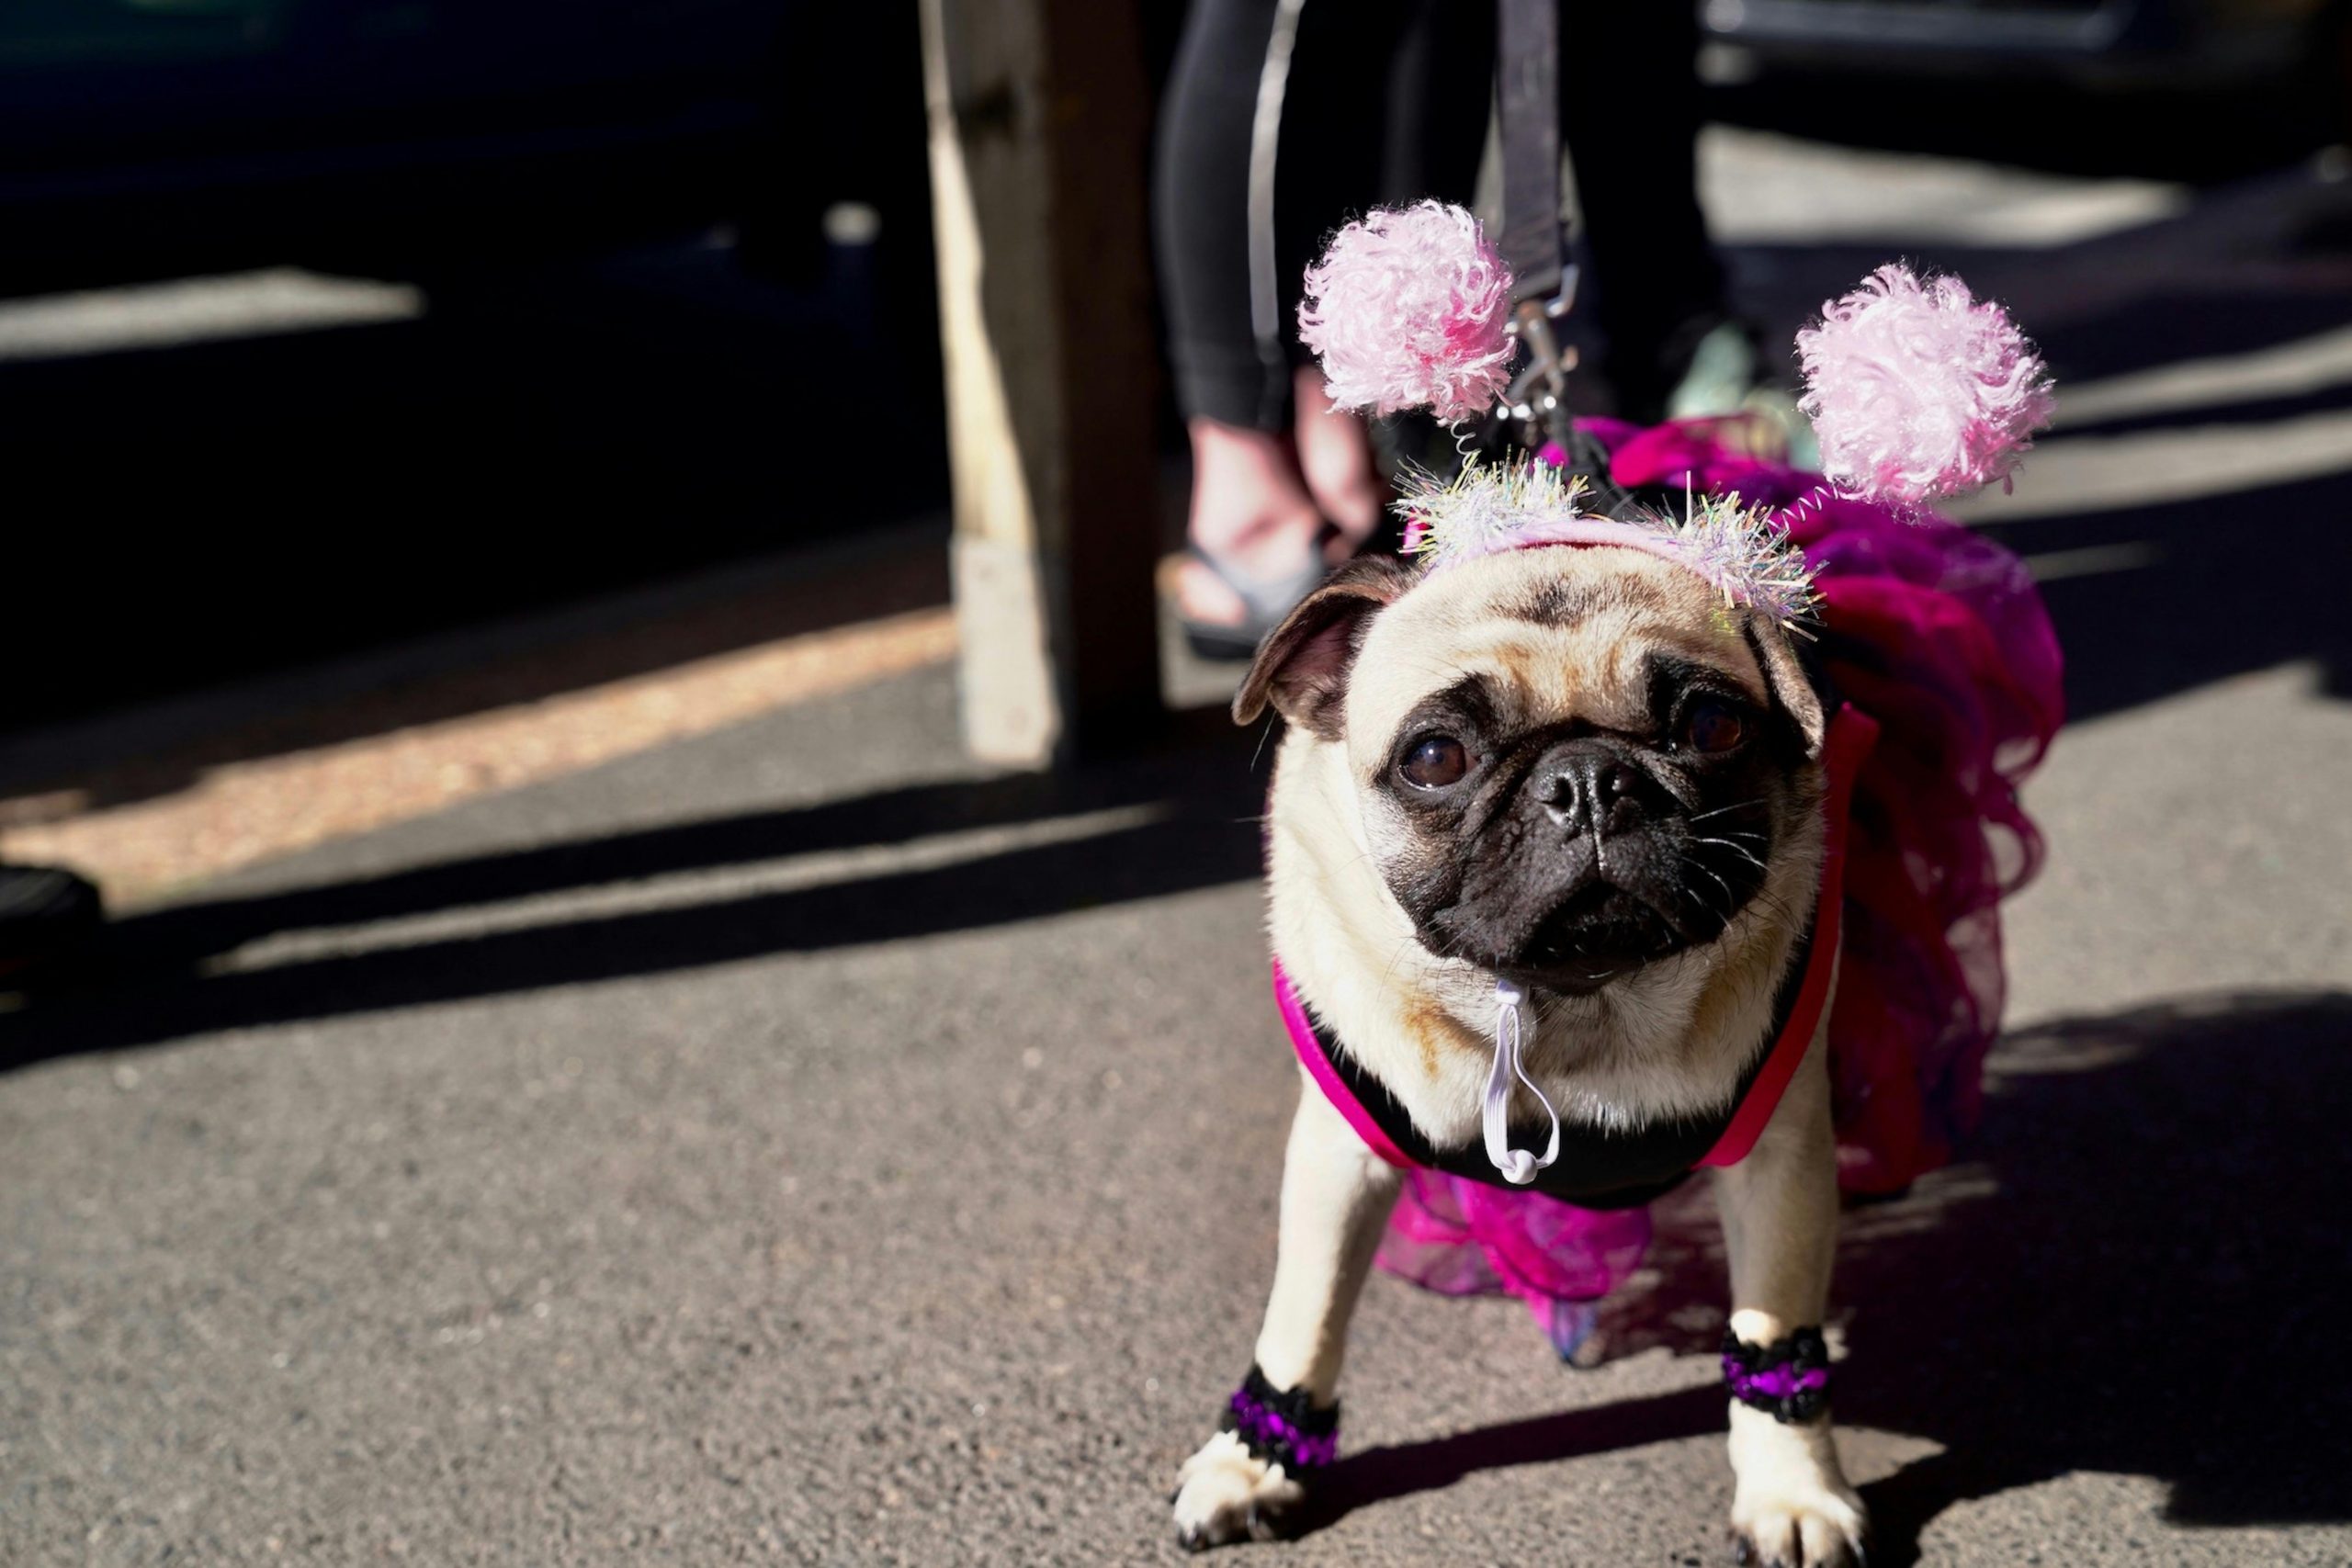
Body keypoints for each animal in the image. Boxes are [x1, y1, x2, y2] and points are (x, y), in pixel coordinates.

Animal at [1176, 543, 1871, 1568]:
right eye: (1435, 758)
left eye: (1711, 725)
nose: (1588, 780)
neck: (1574, 1006)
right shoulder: (1339, 1158)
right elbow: (1304, 1315)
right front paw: (1255, 1460)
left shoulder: (1778, 1162)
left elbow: (1772, 1329)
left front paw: (1793, 1489)